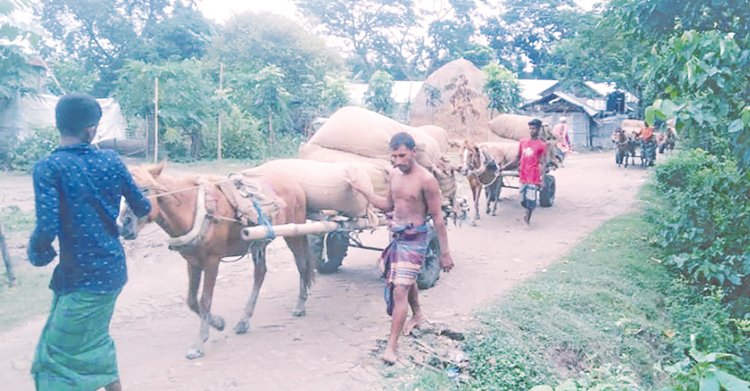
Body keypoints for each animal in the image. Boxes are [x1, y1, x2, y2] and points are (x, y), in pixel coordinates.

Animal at [115, 161, 314, 360]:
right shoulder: (192, 262)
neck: (193, 209)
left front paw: (199, 342)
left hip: (294, 234)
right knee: (260, 274)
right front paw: (218, 323)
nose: (123, 225)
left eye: (145, 189)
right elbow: (191, 300)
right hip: (259, 242)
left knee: (302, 266)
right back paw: (244, 320)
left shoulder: (212, 260)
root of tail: (293, 181)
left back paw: (300, 305)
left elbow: (205, 300)